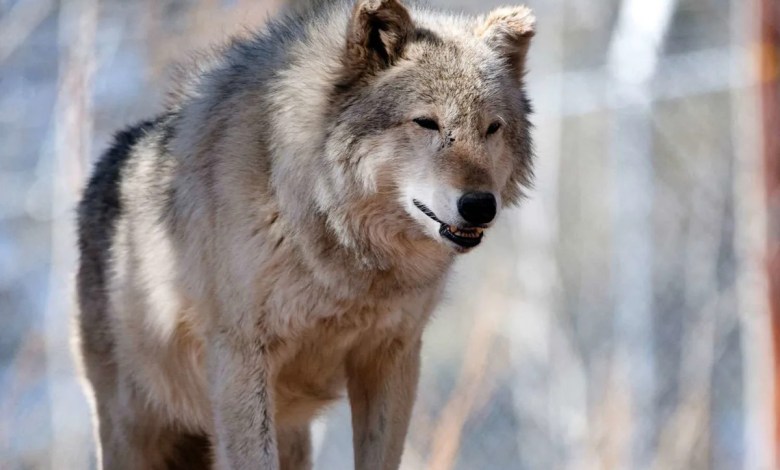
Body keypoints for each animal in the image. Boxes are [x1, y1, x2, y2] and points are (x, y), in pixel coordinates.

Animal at [75, 0, 535, 468]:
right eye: (426, 122)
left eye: (492, 128)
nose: (480, 205)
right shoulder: (241, 359)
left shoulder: (392, 355)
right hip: (134, 431)